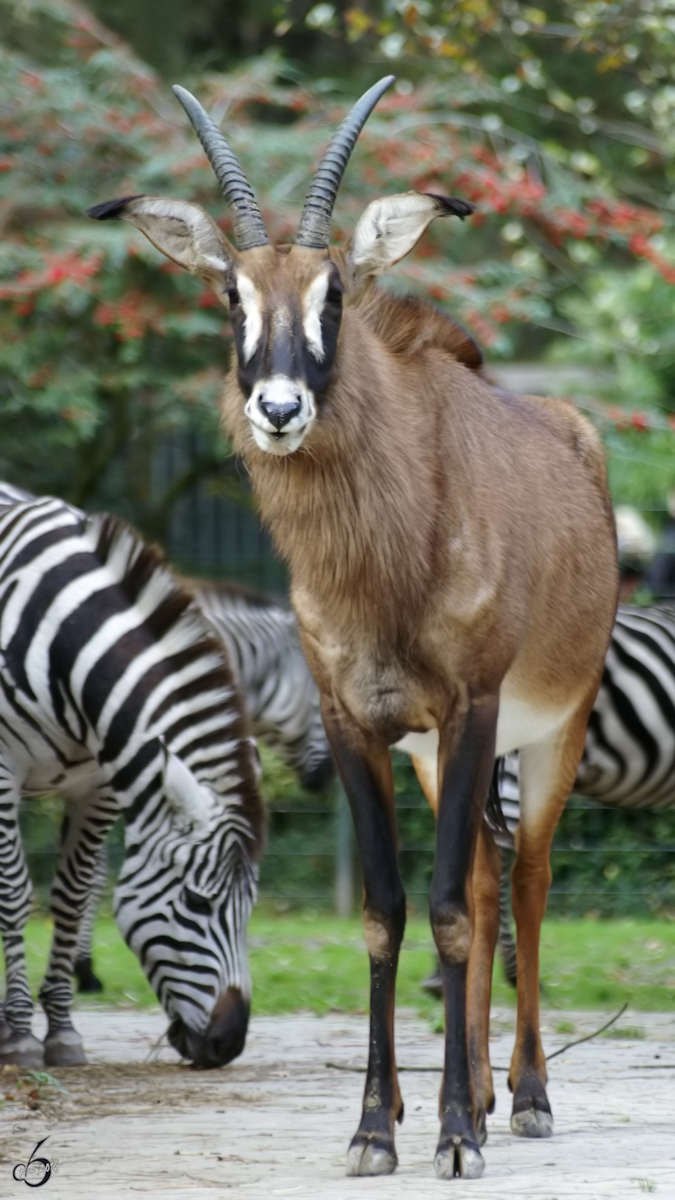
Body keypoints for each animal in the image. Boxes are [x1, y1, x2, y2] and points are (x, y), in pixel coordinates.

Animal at [0, 487, 263, 1070]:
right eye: (197, 903)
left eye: (250, 907)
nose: (229, 1044)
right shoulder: (3, 772)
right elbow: (15, 894)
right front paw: (20, 1036)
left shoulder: (98, 785)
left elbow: (73, 897)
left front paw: (63, 1032)